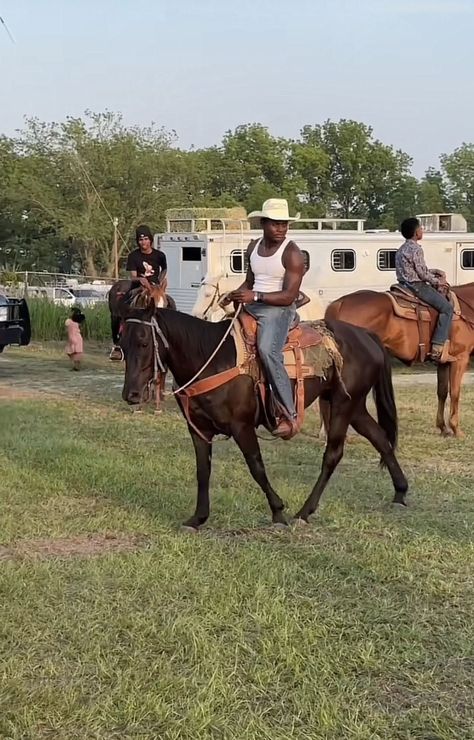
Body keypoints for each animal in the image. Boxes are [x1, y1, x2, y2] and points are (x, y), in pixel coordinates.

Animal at [118, 292, 408, 528]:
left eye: (144, 342)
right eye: (121, 343)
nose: (131, 394)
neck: (210, 359)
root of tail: (366, 336)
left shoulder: (242, 426)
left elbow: (256, 466)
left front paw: (278, 512)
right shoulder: (198, 430)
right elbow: (202, 471)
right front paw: (198, 518)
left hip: (341, 406)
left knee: (333, 455)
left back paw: (304, 512)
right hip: (353, 406)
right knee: (380, 438)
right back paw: (400, 492)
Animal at [328, 280, 474, 436]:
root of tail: (340, 303)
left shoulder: (444, 362)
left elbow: (442, 392)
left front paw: (443, 428)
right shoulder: (460, 358)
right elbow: (455, 393)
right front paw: (456, 429)